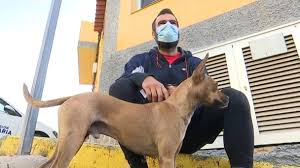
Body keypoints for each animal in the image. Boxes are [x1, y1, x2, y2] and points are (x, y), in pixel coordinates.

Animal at [23, 53, 229, 168]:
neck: (176, 107)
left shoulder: (172, 157)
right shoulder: (167, 158)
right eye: (216, 86)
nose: (228, 99)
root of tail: (71, 97)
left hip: (69, 141)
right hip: (71, 142)